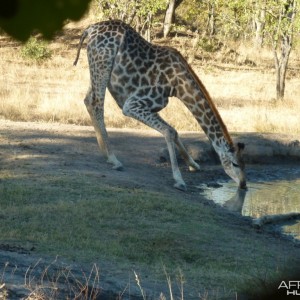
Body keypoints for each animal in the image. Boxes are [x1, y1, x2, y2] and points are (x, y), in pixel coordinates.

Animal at [73, 19, 246, 191]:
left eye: (244, 164)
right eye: (235, 164)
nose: (244, 184)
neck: (178, 86)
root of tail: (89, 29)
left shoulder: (150, 105)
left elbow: (174, 131)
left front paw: (194, 165)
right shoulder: (132, 104)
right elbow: (168, 131)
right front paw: (179, 180)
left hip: (96, 67)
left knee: (88, 100)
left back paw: (105, 154)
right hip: (103, 63)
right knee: (96, 103)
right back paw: (113, 158)